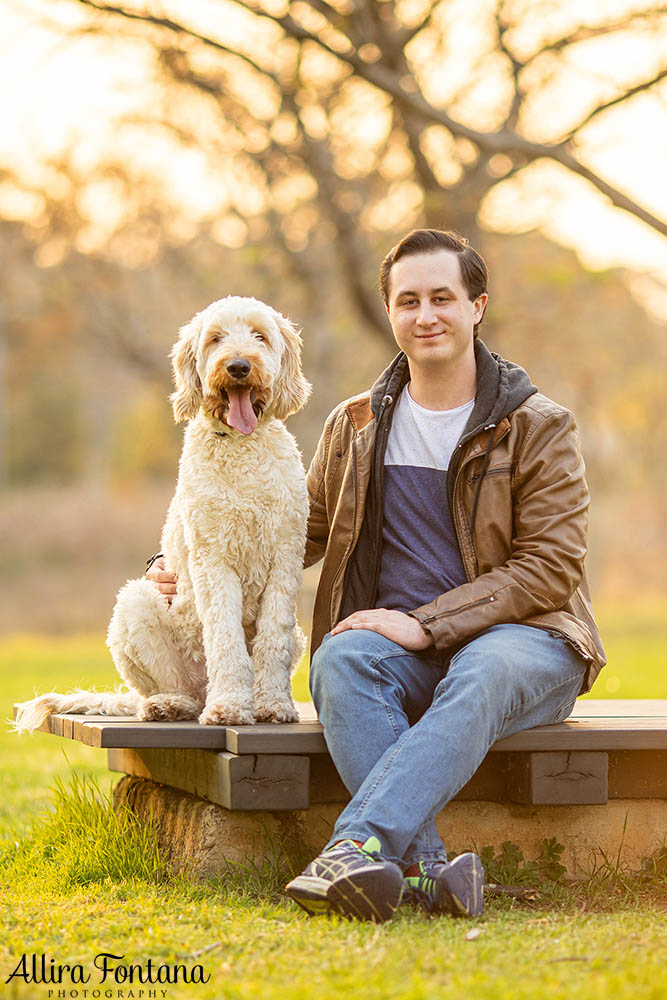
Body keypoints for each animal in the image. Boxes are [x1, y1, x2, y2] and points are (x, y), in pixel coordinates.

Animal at [15, 292, 314, 732]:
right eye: (215, 339)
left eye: (260, 336)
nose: (238, 366)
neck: (242, 447)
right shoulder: (213, 561)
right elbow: (225, 639)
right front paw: (230, 708)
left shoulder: (285, 559)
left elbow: (271, 640)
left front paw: (274, 705)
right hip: (135, 603)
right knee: (171, 689)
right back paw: (173, 704)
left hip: (298, 635)